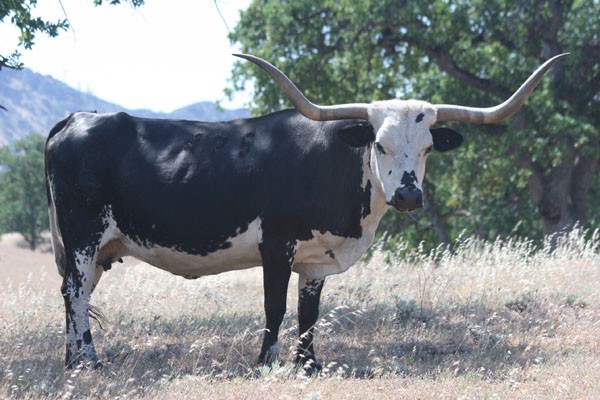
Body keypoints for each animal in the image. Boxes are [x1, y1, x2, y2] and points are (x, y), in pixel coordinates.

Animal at [45, 53, 567, 371]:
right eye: (380, 144)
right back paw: (89, 361)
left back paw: (73, 360)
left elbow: (309, 312)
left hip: (96, 247)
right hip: (83, 237)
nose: (408, 196)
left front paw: (308, 363)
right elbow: (275, 306)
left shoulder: (316, 260)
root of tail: (77, 119)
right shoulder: (276, 244)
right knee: (75, 292)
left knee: (74, 293)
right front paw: (266, 361)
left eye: (427, 148)